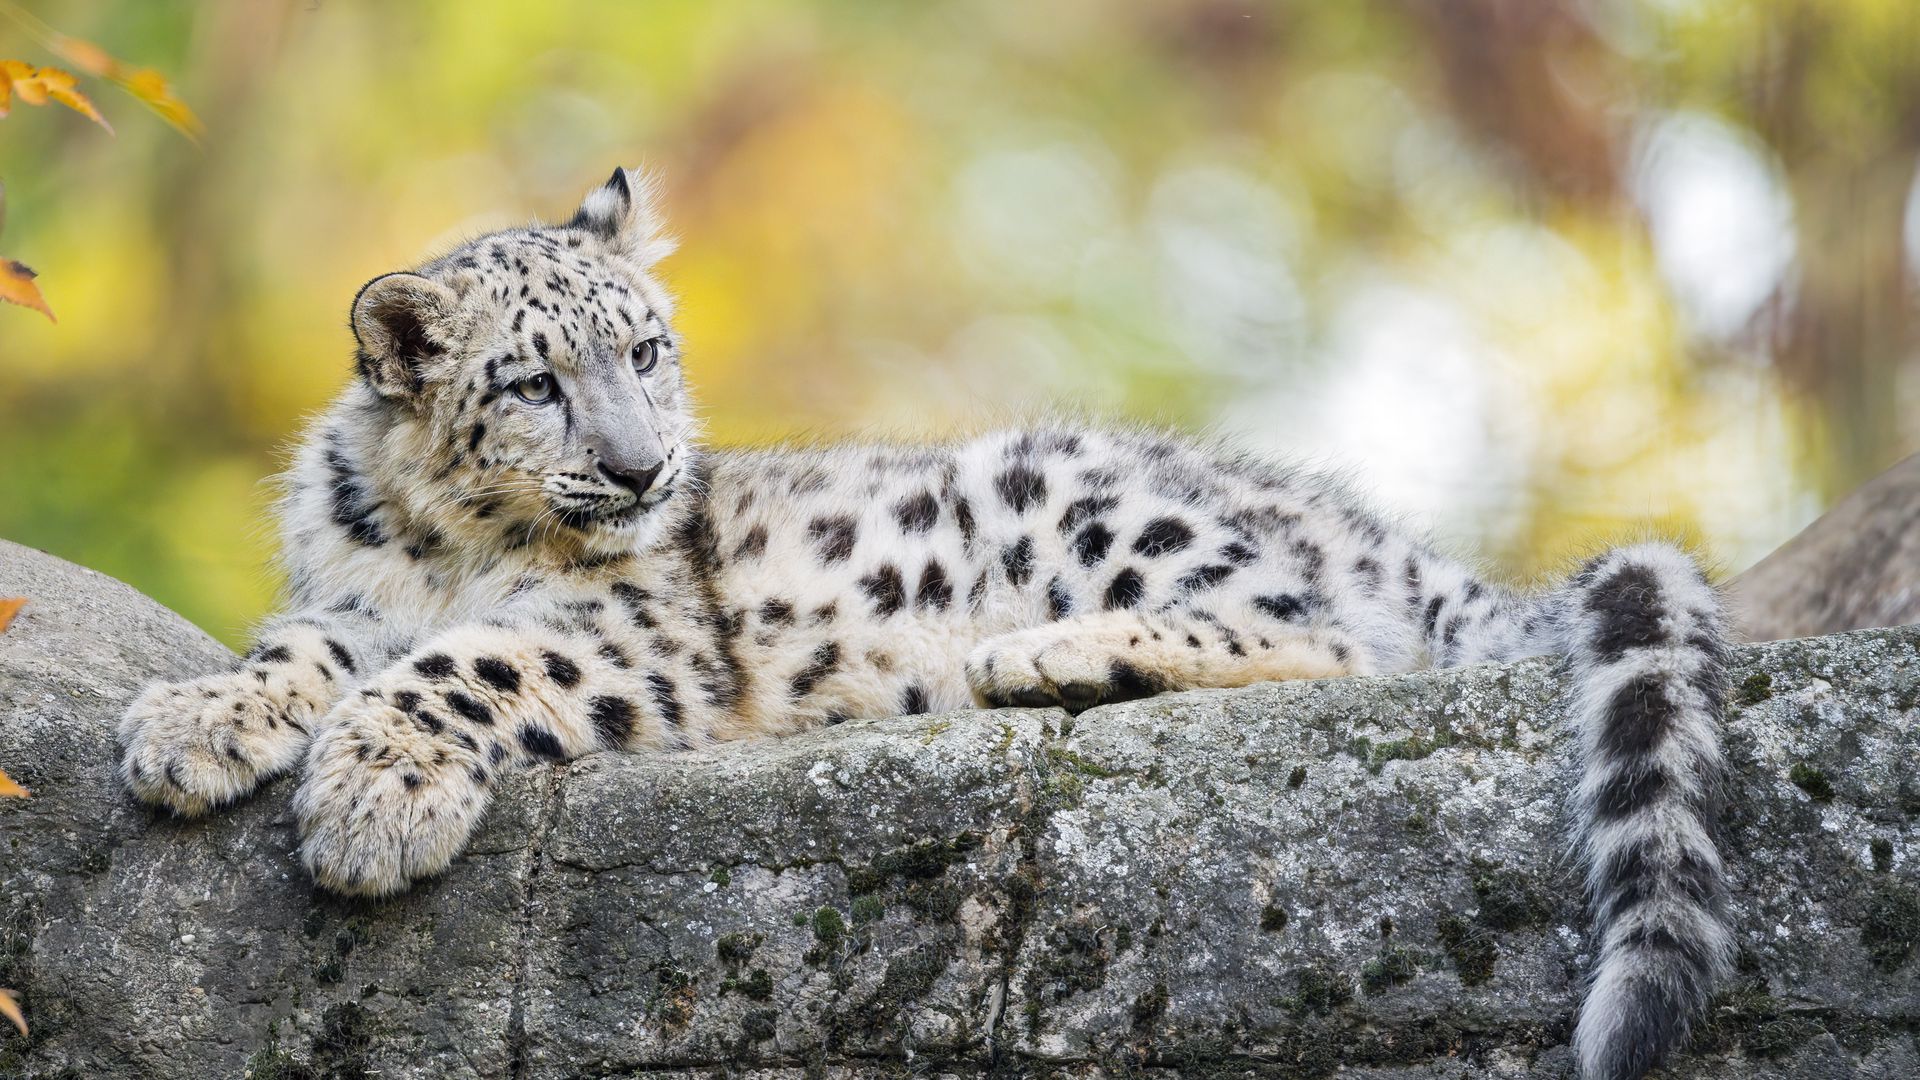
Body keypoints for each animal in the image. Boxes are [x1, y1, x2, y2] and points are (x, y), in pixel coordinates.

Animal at [123, 168, 1743, 1076]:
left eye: (648, 350)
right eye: (534, 382)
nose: (644, 468)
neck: (449, 546)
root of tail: (1373, 533)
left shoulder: (636, 625)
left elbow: (472, 662)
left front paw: (369, 800)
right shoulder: (349, 599)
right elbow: (306, 650)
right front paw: (192, 729)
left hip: (1089, 504)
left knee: (1327, 635)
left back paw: (1041, 656)